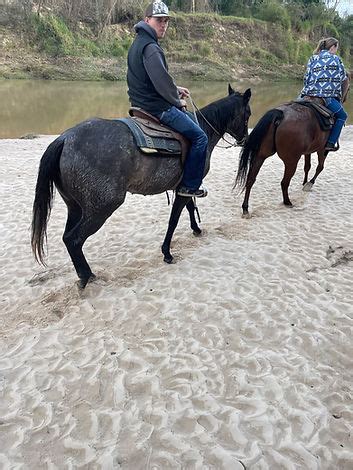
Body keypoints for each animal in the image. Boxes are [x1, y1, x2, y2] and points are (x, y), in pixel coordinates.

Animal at [31, 86, 250, 288]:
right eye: (248, 114)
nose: (244, 139)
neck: (203, 129)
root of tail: (65, 139)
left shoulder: (184, 186)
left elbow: (188, 208)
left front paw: (196, 229)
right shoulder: (186, 186)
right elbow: (174, 219)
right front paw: (167, 252)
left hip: (75, 207)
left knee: (67, 237)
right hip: (101, 208)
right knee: (74, 239)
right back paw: (87, 276)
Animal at [234, 76, 350, 218]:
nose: (345, 98)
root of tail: (279, 114)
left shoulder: (308, 151)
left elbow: (307, 166)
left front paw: (304, 182)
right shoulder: (322, 150)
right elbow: (320, 167)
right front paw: (309, 183)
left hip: (261, 155)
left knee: (250, 180)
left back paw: (245, 208)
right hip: (291, 161)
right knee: (284, 182)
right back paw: (287, 202)